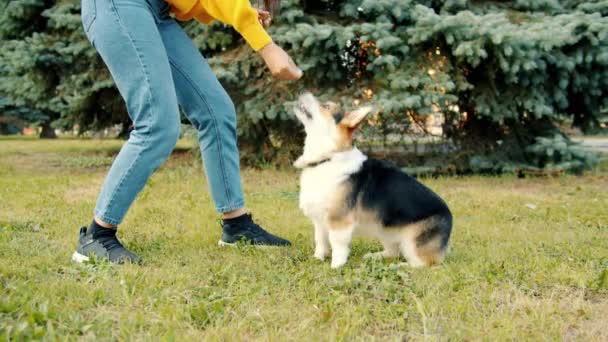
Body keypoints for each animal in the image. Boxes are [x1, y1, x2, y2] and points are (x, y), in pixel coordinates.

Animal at [292, 93, 454, 268]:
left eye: (326, 106)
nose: (303, 93)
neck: (328, 158)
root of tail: (450, 220)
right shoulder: (320, 221)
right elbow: (320, 242)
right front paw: (317, 259)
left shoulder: (339, 222)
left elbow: (337, 245)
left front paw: (336, 266)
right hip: (384, 230)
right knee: (393, 252)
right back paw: (375, 256)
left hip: (412, 242)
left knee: (425, 264)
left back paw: (399, 266)